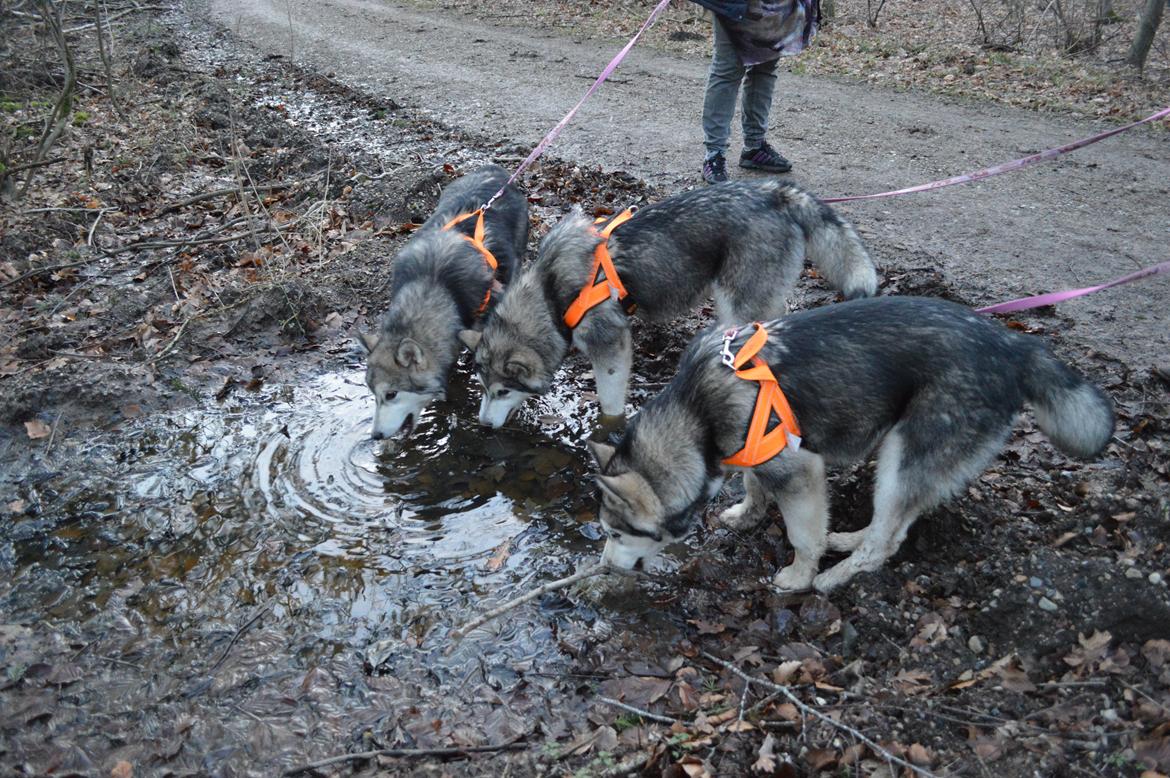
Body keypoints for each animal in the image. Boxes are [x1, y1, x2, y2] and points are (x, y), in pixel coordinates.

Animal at [460, 180, 875, 428]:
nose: (482, 425)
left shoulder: (611, 345)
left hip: (737, 302)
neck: (550, 292)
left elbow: (610, 402)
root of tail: (775, 192)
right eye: (481, 387)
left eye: (502, 391)